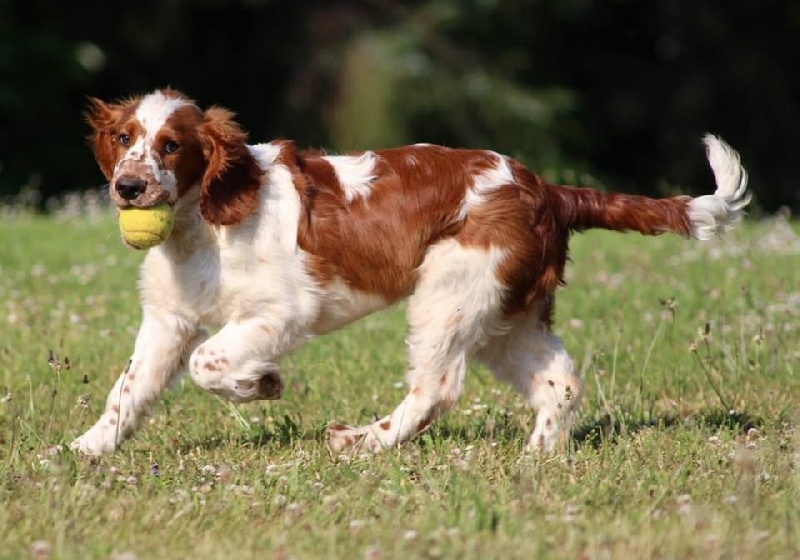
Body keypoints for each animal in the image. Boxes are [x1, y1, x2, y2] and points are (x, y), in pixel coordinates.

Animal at [70, 87, 752, 456]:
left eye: (172, 146)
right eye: (125, 138)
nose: (127, 188)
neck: (205, 219)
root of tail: (550, 191)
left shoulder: (281, 310)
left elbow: (206, 361)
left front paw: (261, 384)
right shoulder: (169, 318)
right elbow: (129, 388)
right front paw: (87, 449)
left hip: (449, 294)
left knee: (437, 388)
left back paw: (362, 441)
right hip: (504, 314)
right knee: (559, 381)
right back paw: (538, 458)